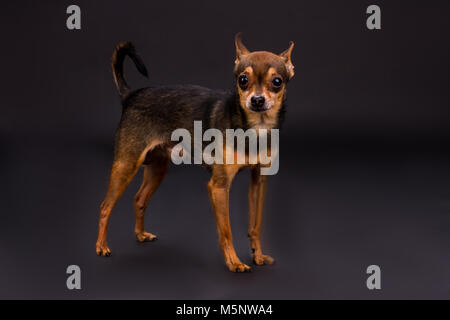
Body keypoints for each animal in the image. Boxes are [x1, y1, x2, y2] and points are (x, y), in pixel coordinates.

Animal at [97, 33, 296, 272]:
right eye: (242, 80)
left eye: (277, 82)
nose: (257, 100)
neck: (254, 128)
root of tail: (130, 96)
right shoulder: (219, 187)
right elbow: (226, 231)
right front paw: (234, 262)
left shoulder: (258, 181)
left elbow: (255, 225)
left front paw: (257, 256)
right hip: (126, 165)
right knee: (105, 206)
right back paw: (101, 247)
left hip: (158, 168)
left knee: (139, 199)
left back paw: (141, 235)